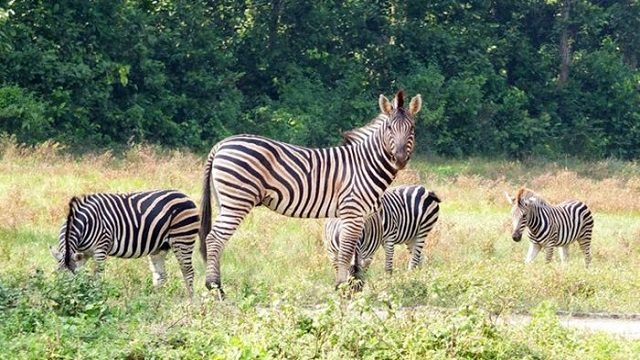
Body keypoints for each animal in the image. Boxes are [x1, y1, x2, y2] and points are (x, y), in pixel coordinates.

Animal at [49, 190, 199, 294]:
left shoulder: (101, 248)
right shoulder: (82, 254)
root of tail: (185, 196)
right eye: (57, 278)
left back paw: (190, 302)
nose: (66, 298)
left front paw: (97, 296)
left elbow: (97, 276)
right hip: (160, 247)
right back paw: (155, 301)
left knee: (188, 271)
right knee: (160, 276)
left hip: (183, 238)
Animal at [199, 90, 420, 296]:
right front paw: (342, 287)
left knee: (216, 239)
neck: (365, 164)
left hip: (225, 201)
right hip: (237, 201)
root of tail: (221, 144)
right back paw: (215, 288)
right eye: (390, 128)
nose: (400, 159)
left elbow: (356, 254)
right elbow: (346, 252)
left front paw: (353, 286)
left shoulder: (358, 216)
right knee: (214, 239)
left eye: (412, 128)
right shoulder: (352, 211)